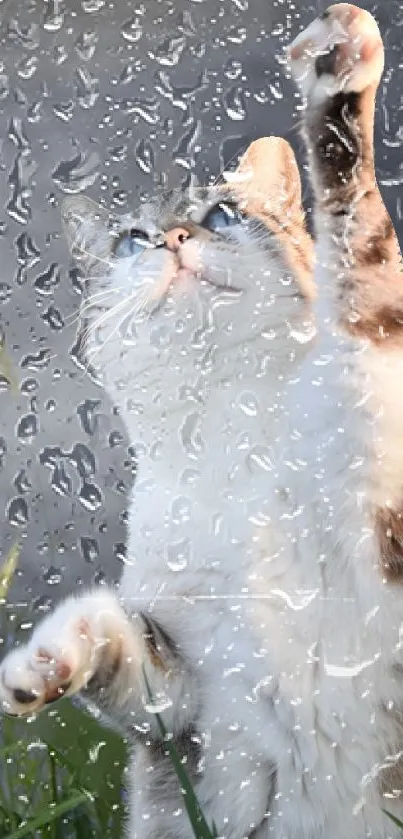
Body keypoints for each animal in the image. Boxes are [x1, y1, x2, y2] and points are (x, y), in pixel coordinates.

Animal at [0, 3, 403, 836]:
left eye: (220, 213)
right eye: (132, 240)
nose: (176, 239)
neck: (230, 438)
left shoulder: (382, 511)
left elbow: (362, 255)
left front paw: (337, 79)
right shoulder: (189, 699)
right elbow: (121, 640)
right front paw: (44, 661)